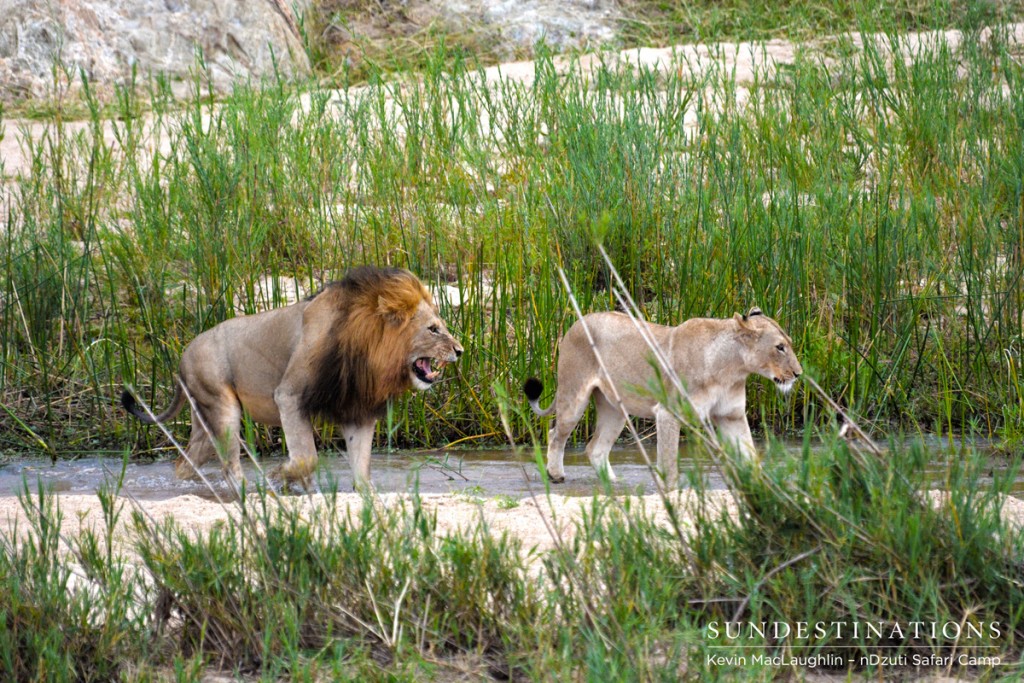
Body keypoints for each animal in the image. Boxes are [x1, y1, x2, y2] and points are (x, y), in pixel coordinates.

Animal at [120, 266, 468, 491]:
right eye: (433, 329)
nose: (461, 350)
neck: (368, 353)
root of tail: (182, 356)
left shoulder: (356, 408)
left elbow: (361, 465)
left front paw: (363, 494)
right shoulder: (289, 397)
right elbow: (307, 457)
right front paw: (280, 475)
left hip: (205, 423)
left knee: (186, 464)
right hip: (222, 408)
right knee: (230, 466)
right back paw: (250, 490)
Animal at [528, 307, 798, 489]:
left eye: (789, 344)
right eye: (780, 347)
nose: (798, 373)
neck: (732, 369)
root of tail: (578, 321)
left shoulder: (732, 416)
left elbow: (749, 454)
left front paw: (765, 488)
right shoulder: (669, 412)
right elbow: (668, 458)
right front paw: (671, 491)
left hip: (615, 410)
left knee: (595, 448)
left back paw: (613, 481)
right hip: (573, 396)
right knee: (555, 434)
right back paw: (555, 475)